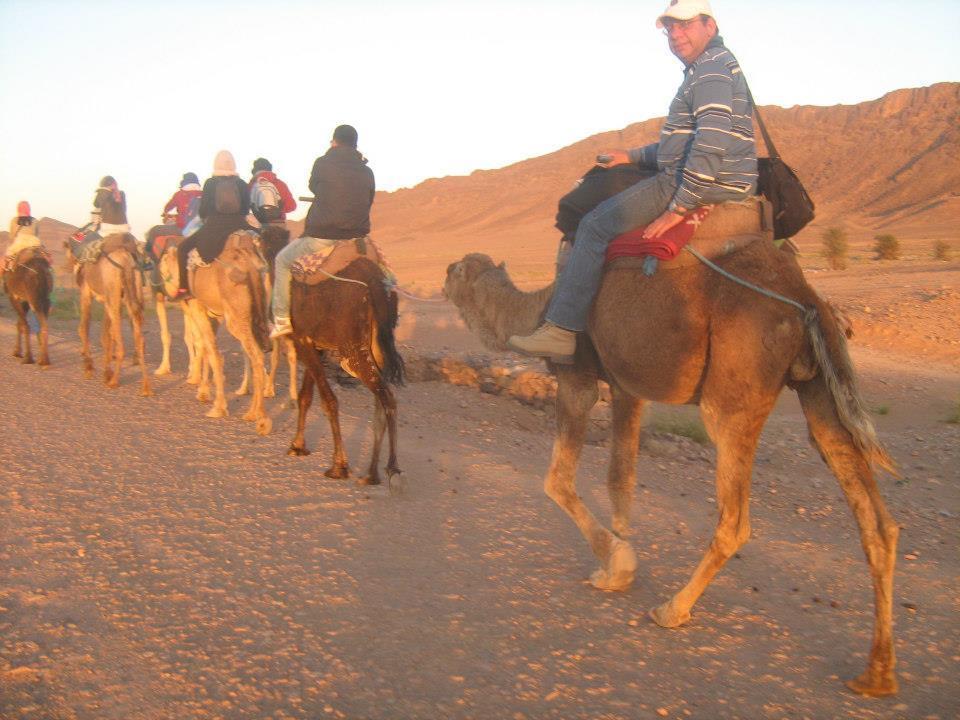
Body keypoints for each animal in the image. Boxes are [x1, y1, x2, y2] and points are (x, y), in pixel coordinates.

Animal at [70, 235, 152, 394]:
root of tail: (126, 259)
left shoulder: (86, 293)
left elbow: (84, 328)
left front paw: (89, 367)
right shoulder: (109, 300)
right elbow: (106, 336)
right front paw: (106, 372)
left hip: (113, 294)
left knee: (121, 343)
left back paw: (114, 381)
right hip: (133, 293)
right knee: (139, 337)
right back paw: (145, 387)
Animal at [161, 231, 272, 434]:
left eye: (164, 262)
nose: (162, 288)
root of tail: (250, 264)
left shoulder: (198, 307)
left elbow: (212, 352)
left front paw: (218, 407)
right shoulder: (214, 315)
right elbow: (206, 348)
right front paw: (203, 392)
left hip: (236, 316)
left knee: (257, 354)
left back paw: (260, 416)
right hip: (260, 309)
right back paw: (253, 410)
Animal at [284, 256, 404, 486]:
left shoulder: (301, 340)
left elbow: (328, 401)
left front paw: (339, 466)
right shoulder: (315, 346)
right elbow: (305, 396)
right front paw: (297, 445)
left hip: (353, 350)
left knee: (386, 397)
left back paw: (392, 467)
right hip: (377, 347)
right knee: (382, 400)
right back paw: (371, 473)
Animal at [446, 232, 904, 696]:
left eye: (455, 270)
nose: (444, 279)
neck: (535, 310)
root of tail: (805, 301)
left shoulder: (576, 376)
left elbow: (556, 481)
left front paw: (615, 560)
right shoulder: (627, 387)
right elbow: (621, 477)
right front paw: (618, 564)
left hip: (733, 393)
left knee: (734, 517)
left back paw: (673, 608)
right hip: (818, 388)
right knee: (873, 516)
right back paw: (877, 673)